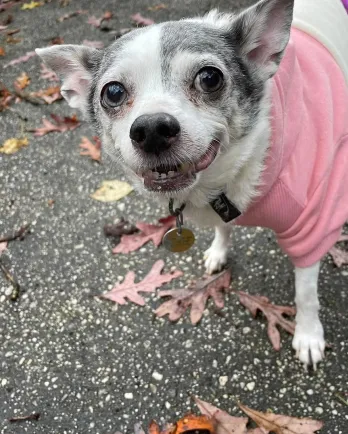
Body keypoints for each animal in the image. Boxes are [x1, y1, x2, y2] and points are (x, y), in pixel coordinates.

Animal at [35, 0, 348, 370]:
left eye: (209, 77)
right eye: (112, 92)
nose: (152, 129)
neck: (215, 182)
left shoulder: (311, 225)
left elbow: (306, 293)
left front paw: (309, 335)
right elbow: (224, 227)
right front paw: (219, 250)